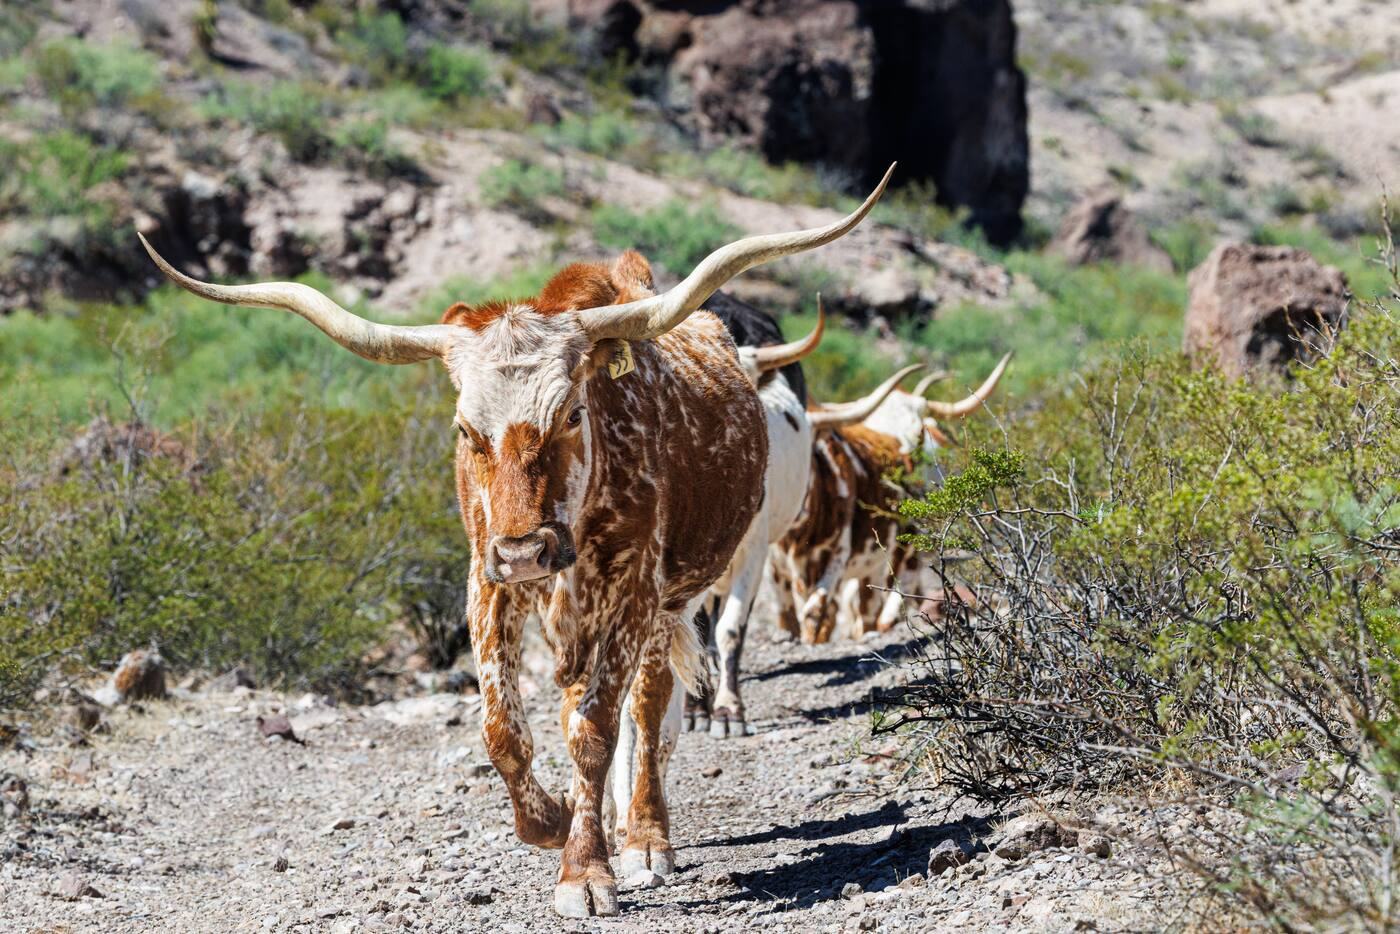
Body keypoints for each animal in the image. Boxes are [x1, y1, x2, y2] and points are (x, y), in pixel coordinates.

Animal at [134, 166, 893, 919]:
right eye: (465, 429)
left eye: (572, 414)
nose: (527, 550)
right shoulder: (487, 579)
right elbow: (503, 729)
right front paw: (552, 821)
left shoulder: (633, 589)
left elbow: (597, 730)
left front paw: (586, 870)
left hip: (675, 596)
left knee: (647, 710)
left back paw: (645, 836)